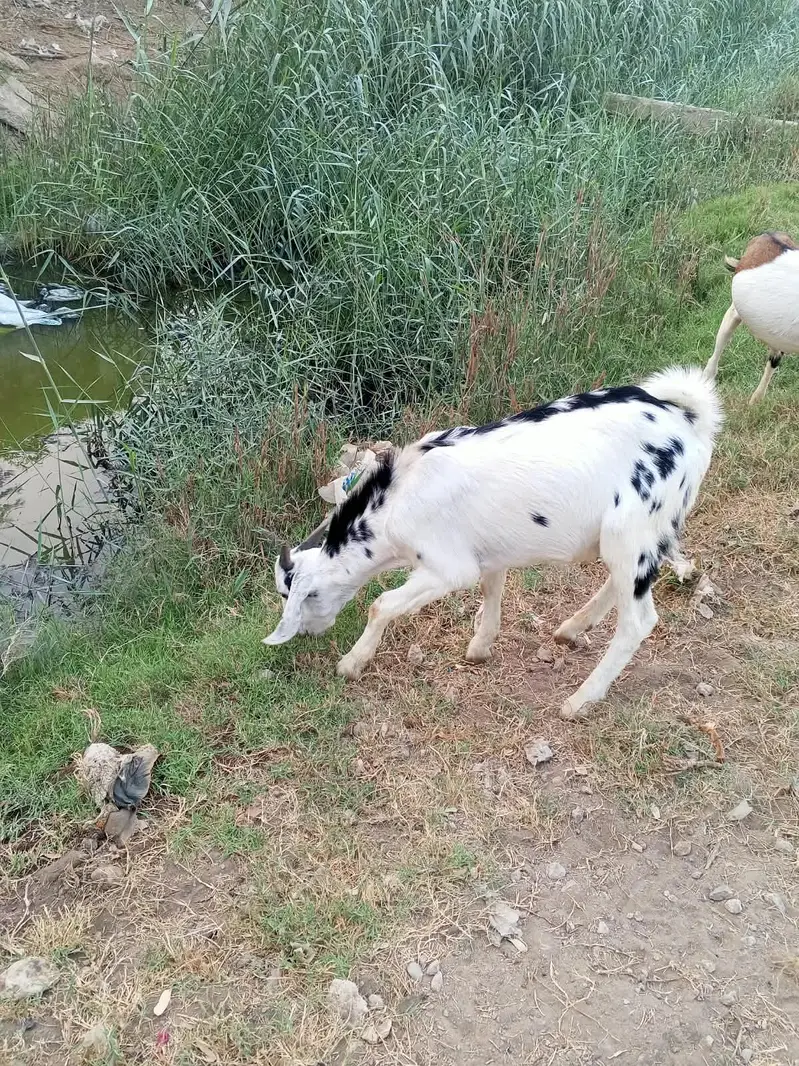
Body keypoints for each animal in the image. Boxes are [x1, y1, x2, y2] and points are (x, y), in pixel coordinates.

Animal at [263, 367, 722, 720]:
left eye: (295, 596)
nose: (307, 633)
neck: (395, 499)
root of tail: (687, 421)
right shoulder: (488, 551)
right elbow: (492, 588)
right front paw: (480, 647)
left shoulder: (448, 568)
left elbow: (383, 604)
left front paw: (351, 663)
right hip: (642, 534)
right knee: (620, 583)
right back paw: (572, 628)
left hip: (632, 530)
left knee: (638, 620)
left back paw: (579, 700)